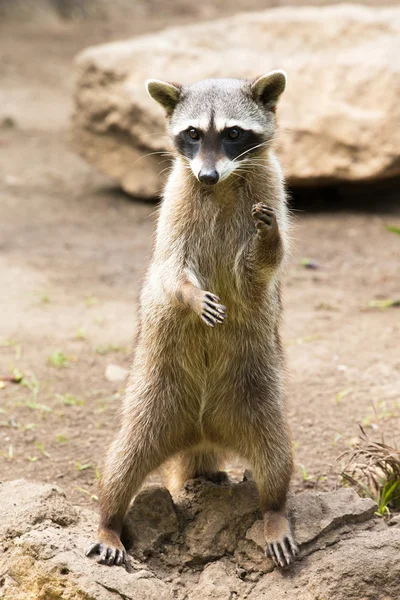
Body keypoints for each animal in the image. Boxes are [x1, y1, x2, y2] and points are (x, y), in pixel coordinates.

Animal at [88, 69, 300, 568]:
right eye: (193, 134)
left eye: (233, 134)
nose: (206, 173)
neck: (222, 183)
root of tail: (202, 431)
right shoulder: (175, 202)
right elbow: (170, 269)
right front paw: (189, 293)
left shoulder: (270, 189)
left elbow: (259, 268)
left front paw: (268, 241)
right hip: (151, 397)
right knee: (121, 462)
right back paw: (108, 518)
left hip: (259, 397)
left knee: (277, 457)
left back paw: (274, 508)